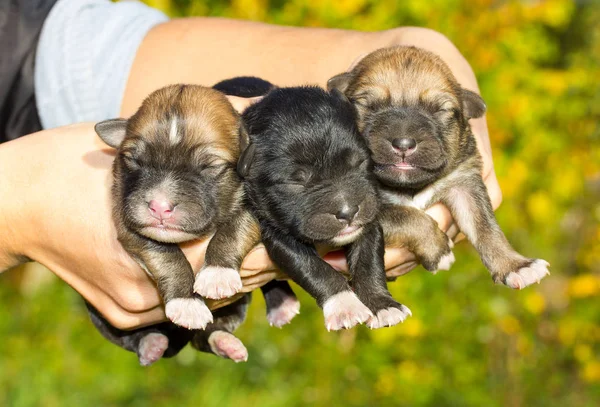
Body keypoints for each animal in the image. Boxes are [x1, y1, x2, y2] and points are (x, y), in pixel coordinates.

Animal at [238, 86, 412, 332]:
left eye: (359, 162)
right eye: (297, 181)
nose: (348, 212)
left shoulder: (368, 221)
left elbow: (368, 261)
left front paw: (383, 305)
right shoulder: (275, 231)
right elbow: (314, 268)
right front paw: (345, 306)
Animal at [328, 47, 548, 290]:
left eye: (438, 110)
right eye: (369, 106)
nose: (403, 143)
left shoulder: (465, 183)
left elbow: (484, 225)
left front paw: (515, 265)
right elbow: (405, 215)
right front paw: (440, 250)